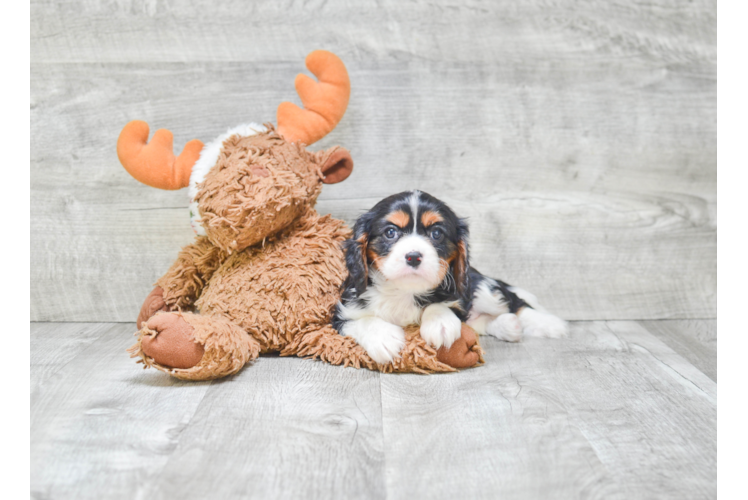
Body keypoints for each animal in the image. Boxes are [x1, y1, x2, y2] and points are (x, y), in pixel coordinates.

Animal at [334, 190, 568, 364]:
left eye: (436, 234)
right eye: (390, 232)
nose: (413, 256)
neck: (404, 291)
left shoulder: (458, 296)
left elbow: (443, 304)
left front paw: (440, 323)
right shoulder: (341, 314)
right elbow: (362, 322)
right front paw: (383, 337)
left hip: (484, 290)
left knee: (514, 302)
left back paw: (550, 324)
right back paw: (509, 327)